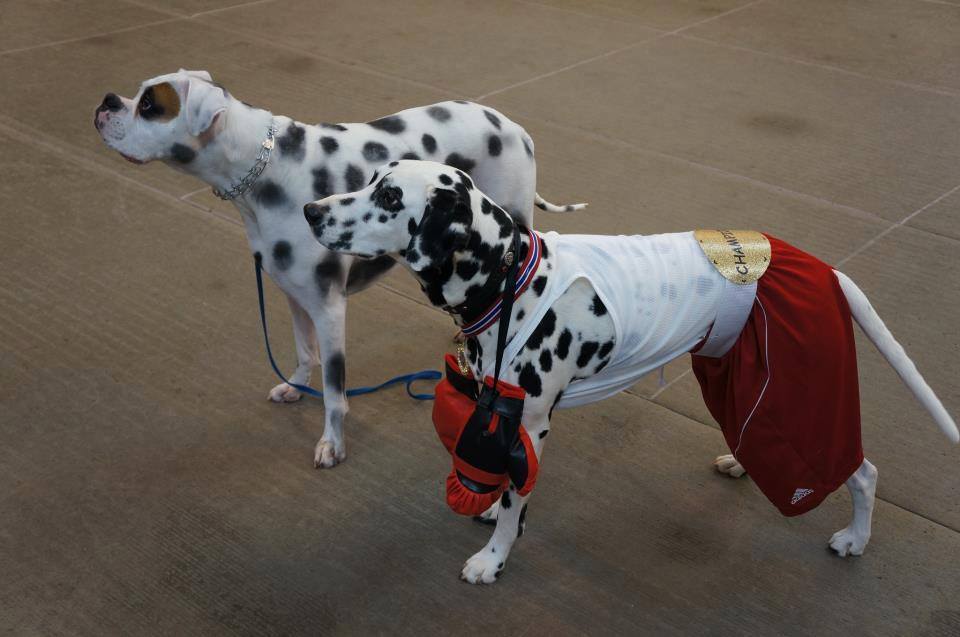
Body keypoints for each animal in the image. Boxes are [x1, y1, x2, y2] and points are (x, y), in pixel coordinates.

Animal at [95, 68, 584, 468]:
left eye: (149, 106)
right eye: (138, 94)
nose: (106, 101)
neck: (266, 170)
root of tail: (515, 127)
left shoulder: (329, 309)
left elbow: (334, 393)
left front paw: (332, 444)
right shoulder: (294, 294)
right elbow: (302, 351)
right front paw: (295, 385)